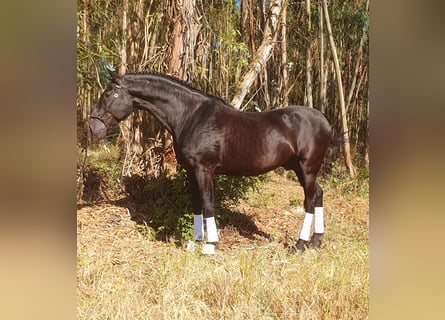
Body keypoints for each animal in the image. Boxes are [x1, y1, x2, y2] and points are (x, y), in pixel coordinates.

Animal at [89, 71, 330, 254]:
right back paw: (316, 241)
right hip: (298, 168)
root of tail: (324, 120)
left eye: (109, 94)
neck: (190, 116)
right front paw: (196, 242)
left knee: (309, 200)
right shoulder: (191, 171)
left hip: (308, 167)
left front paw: (210, 244)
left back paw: (300, 244)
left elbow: (208, 204)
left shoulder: (204, 170)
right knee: (318, 194)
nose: (93, 127)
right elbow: (196, 204)